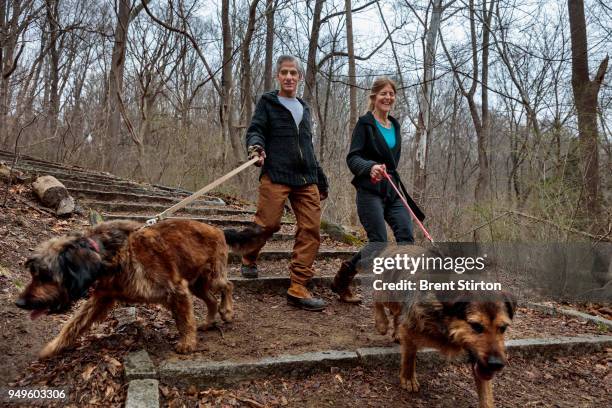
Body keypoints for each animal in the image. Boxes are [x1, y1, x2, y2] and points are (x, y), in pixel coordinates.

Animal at [14, 220, 266, 356]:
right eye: (34, 274)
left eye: (45, 275)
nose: (19, 302)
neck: (109, 256)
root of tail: (218, 229)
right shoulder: (101, 298)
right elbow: (74, 324)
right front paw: (54, 347)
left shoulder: (176, 289)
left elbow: (184, 320)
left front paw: (187, 343)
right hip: (197, 284)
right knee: (212, 298)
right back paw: (208, 321)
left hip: (211, 277)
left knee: (228, 285)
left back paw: (227, 311)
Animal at [372, 245, 516, 408]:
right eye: (476, 326)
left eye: (503, 328)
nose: (496, 364)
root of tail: (397, 246)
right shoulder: (411, 326)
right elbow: (409, 355)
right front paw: (408, 378)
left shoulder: (478, 357)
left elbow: (486, 392)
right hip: (388, 294)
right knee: (377, 298)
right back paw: (382, 323)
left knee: (397, 315)